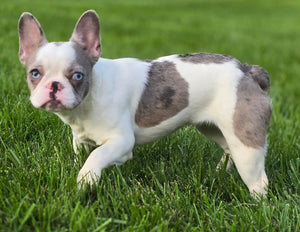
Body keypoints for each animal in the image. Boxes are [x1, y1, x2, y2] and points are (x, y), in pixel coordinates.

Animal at [18, 10, 272, 196]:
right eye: (34, 74)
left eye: (78, 76)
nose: (54, 86)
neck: (89, 98)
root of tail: (247, 70)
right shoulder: (80, 138)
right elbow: (81, 153)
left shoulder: (121, 142)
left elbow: (96, 156)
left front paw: (85, 182)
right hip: (213, 128)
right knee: (228, 149)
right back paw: (220, 173)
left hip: (245, 141)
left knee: (259, 180)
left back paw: (256, 207)